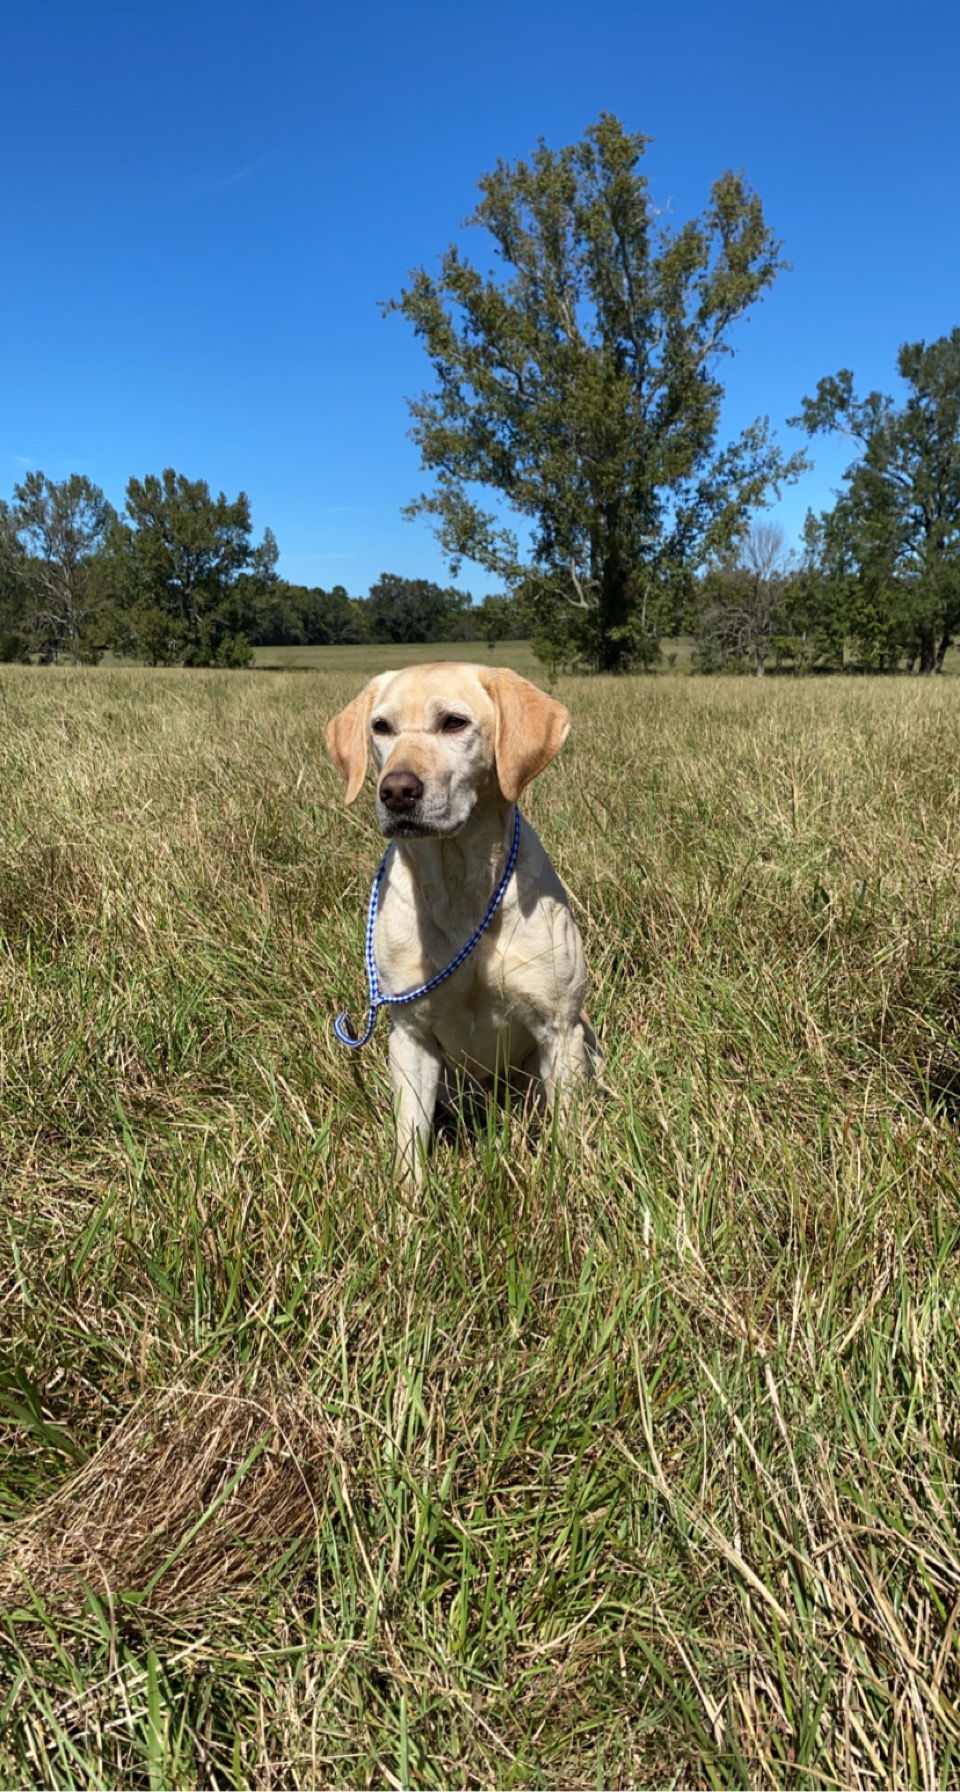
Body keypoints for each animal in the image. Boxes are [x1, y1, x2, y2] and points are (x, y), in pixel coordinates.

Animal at [329, 666, 601, 1182]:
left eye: (454, 723)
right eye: (381, 727)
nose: (396, 790)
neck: (461, 889)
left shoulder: (557, 1029)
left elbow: (570, 1133)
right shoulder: (410, 1035)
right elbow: (409, 1140)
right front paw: (409, 1200)